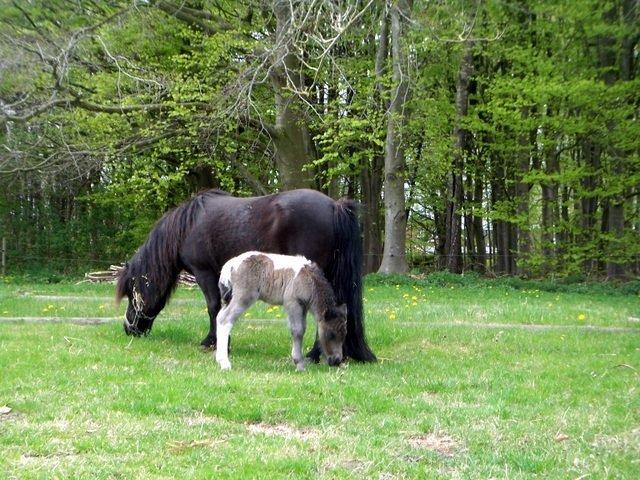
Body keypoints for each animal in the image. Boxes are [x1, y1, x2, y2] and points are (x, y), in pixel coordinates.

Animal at [114, 189, 376, 362]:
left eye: (131, 293)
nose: (129, 328)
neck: (187, 226)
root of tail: (335, 206)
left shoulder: (205, 273)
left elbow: (213, 307)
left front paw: (212, 343)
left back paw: (313, 355)